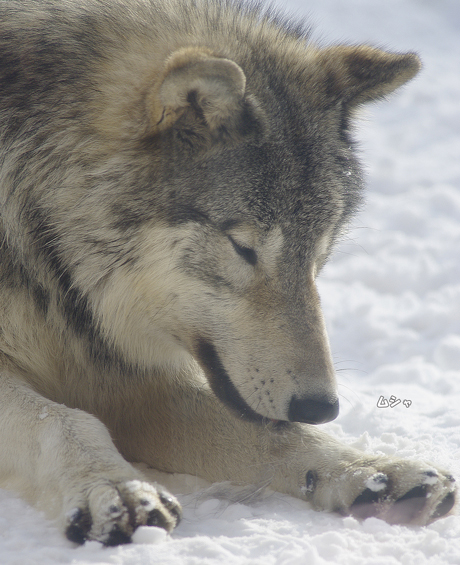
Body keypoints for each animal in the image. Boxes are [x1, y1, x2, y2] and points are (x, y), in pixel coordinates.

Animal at [0, 0, 456, 548]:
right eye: (244, 248)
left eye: (318, 252)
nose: (321, 406)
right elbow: (63, 420)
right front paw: (116, 487)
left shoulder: (124, 375)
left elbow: (277, 436)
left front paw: (373, 472)